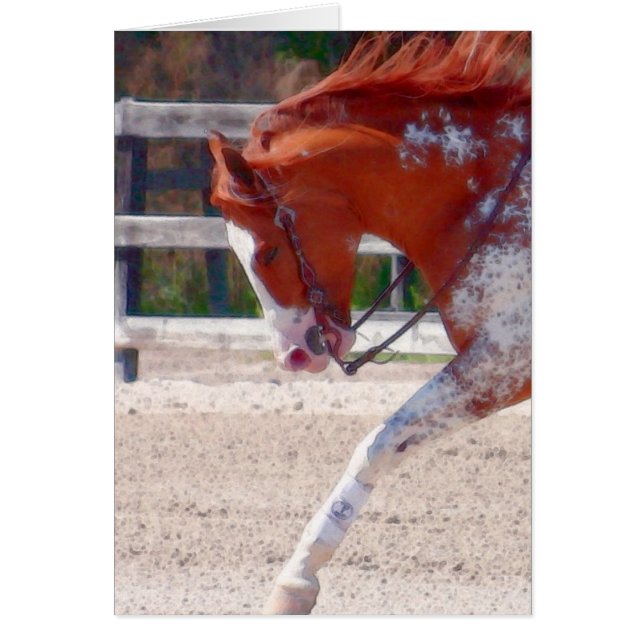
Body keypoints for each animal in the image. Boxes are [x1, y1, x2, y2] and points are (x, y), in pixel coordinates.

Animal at [209, 31, 531, 614]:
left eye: (267, 251)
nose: (293, 355)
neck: (487, 196)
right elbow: (386, 443)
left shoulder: (503, 361)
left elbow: (378, 445)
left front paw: (294, 584)